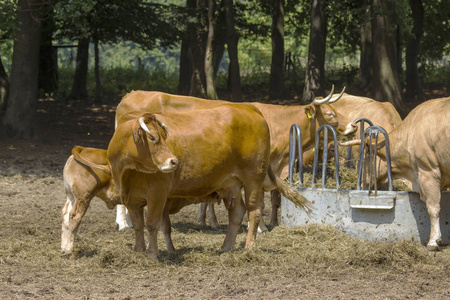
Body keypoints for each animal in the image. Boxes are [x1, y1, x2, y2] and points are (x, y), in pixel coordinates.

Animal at [108, 103, 312, 258]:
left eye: (164, 137)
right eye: (151, 137)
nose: (174, 161)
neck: (128, 174)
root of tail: (247, 107)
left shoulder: (157, 195)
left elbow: (151, 224)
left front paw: (152, 254)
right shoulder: (131, 199)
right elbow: (138, 225)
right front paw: (138, 251)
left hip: (253, 179)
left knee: (254, 210)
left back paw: (249, 246)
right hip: (231, 183)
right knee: (237, 213)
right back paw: (226, 246)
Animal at [112, 86, 356, 230]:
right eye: (331, 114)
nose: (353, 125)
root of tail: (131, 94)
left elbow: (271, 199)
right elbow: (256, 200)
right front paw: (259, 227)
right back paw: (124, 223)